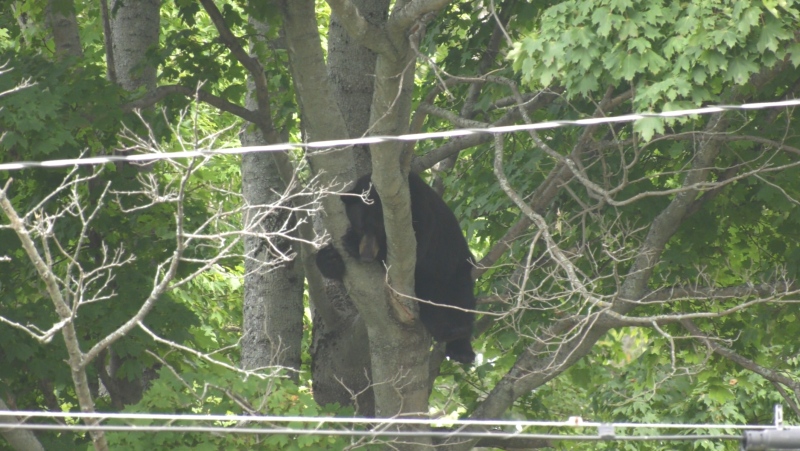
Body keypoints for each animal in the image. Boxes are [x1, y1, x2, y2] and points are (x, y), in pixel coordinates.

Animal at [314, 171, 478, 366]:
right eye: (360, 227)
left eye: (380, 230)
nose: (367, 256)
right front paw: (329, 258)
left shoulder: (416, 206)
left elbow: (416, 245)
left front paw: (352, 243)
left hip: (452, 270)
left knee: (459, 304)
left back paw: (459, 343)